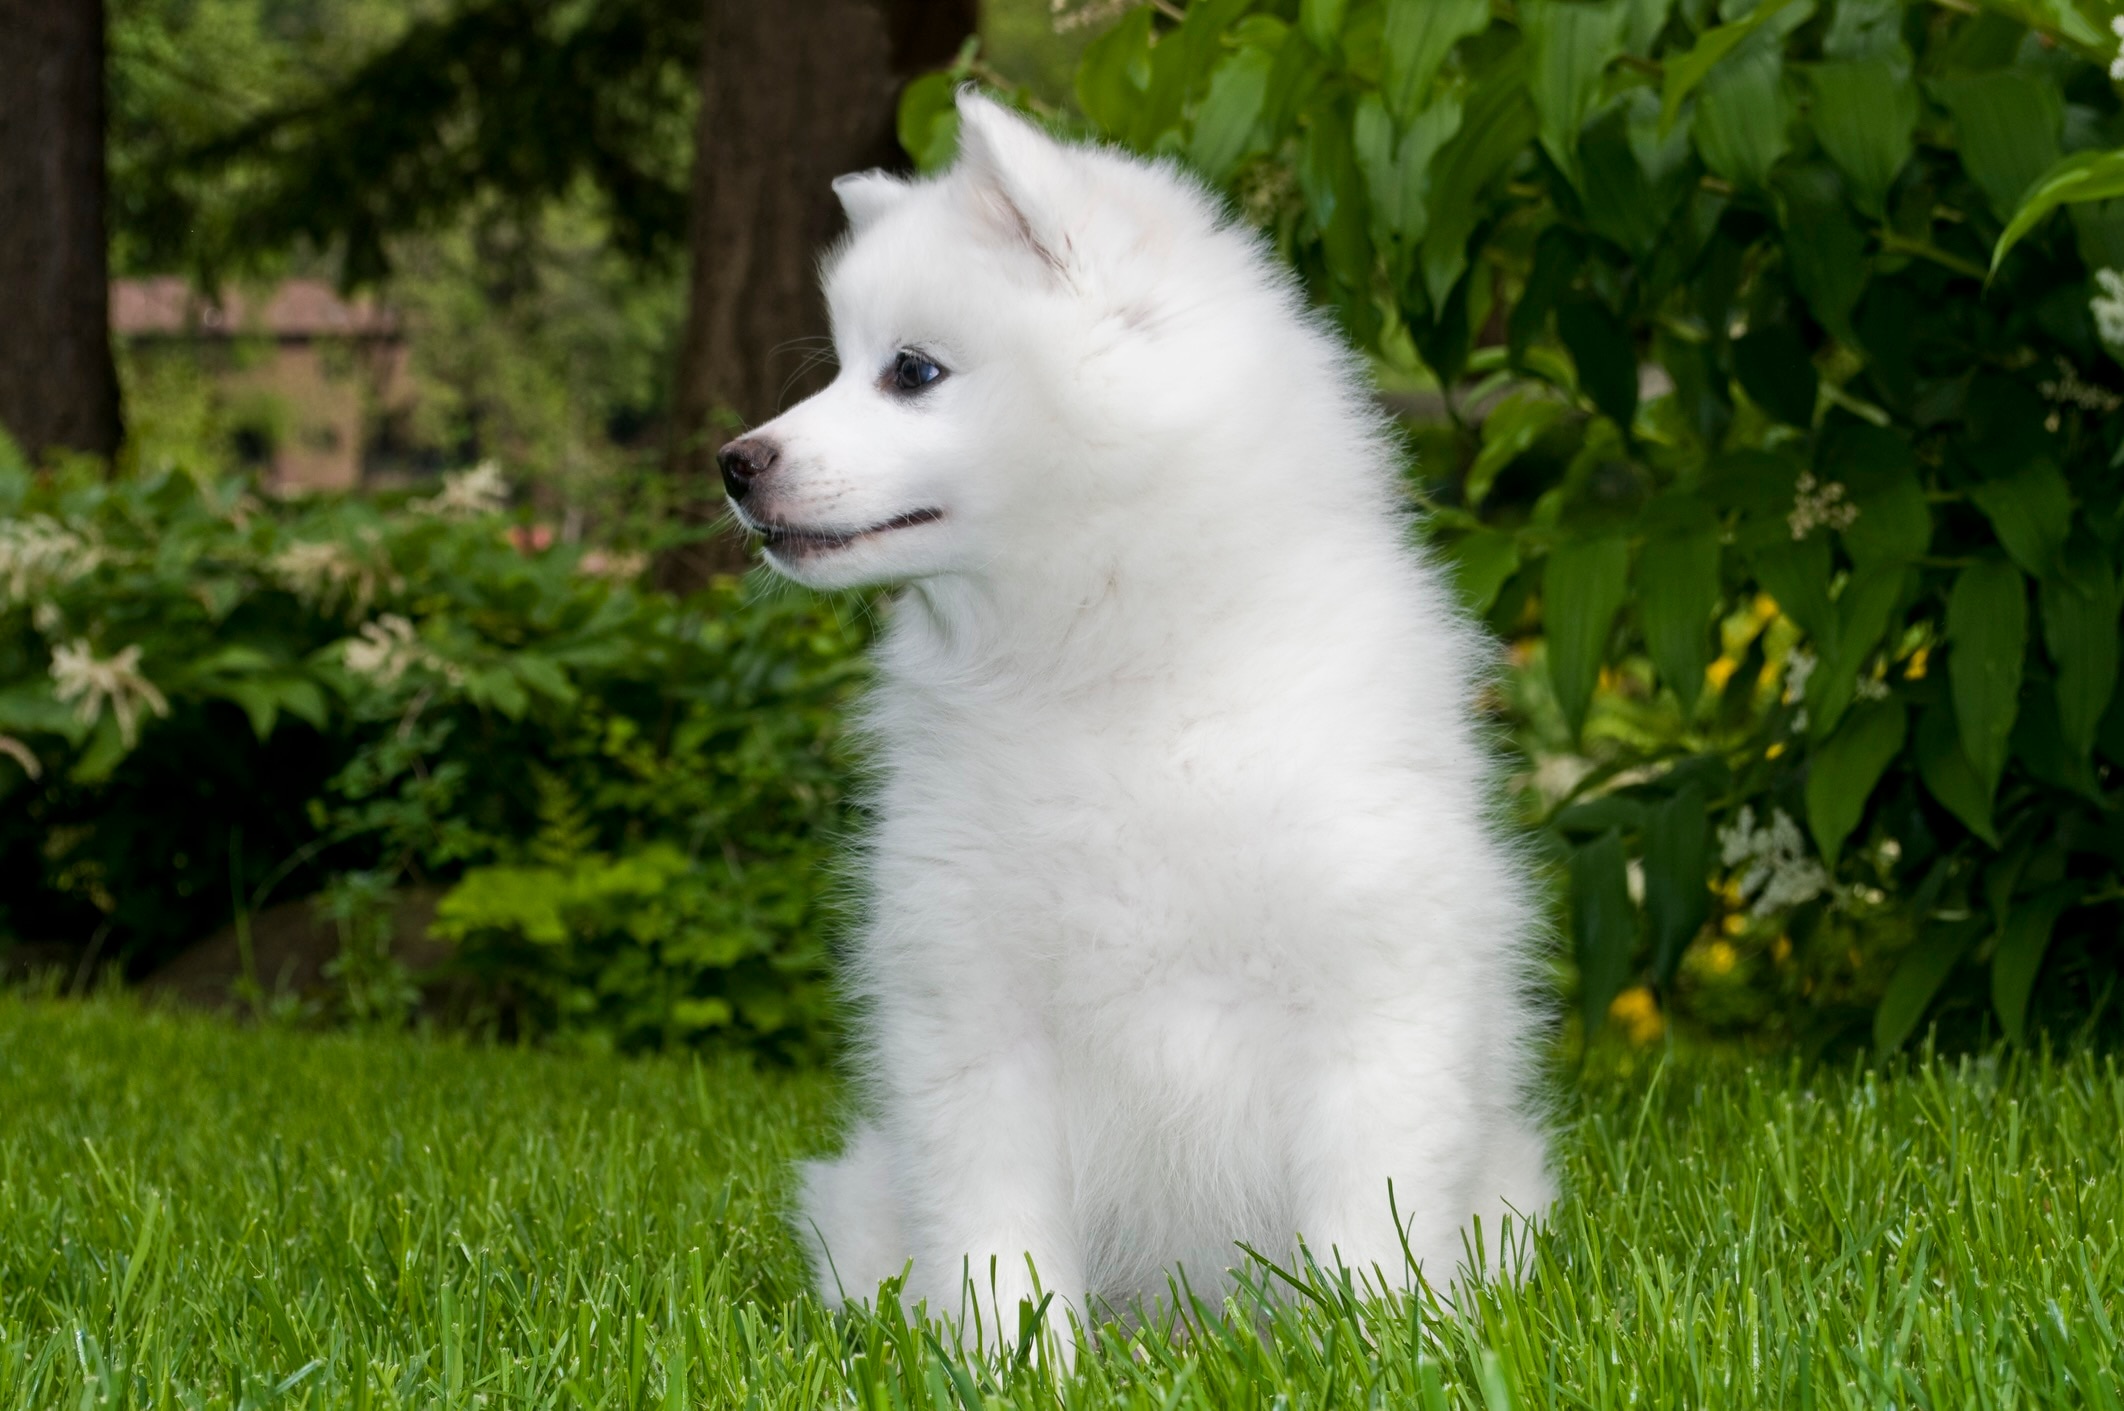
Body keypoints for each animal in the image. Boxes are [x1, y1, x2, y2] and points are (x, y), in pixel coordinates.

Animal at [722, 93, 1554, 1326]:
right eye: (842, 367)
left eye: (911, 370)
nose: (734, 462)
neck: (1110, 672)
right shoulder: (974, 1006)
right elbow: (999, 1237)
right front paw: (1013, 1353)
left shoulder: (1376, 992)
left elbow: (1368, 1216)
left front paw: (1378, 1339)